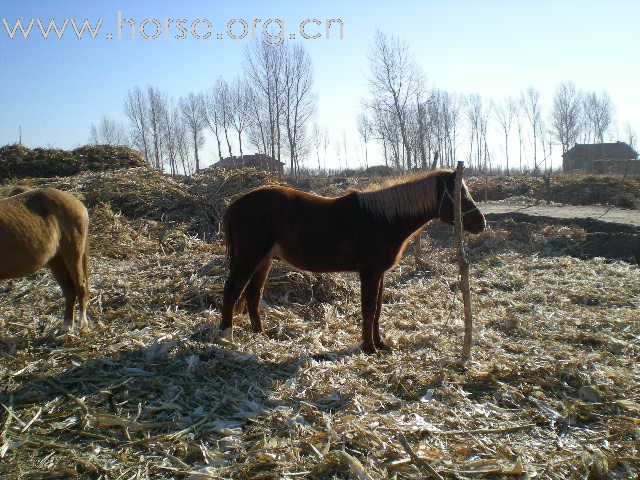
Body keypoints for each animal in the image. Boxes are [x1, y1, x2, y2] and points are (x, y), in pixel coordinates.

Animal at [0, 188, 90, 334]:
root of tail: (77, 202)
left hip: (73, 255)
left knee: (80, 286)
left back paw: (83, 325)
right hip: (56, 260)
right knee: (69, 291)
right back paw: (67, 326)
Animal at [220, 168, 484, 352]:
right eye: (459, 195)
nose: (481, 223)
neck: (382, 219)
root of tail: (234, 205)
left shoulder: (380, 273)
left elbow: (377, 309)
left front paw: (380, 344)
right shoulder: (369, 272)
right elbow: (368, 309)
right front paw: (369, 348)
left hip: (263, 262)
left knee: (253, 295)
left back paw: (260, 335)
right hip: (248, 259)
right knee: (232, 291)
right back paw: (226, 338)